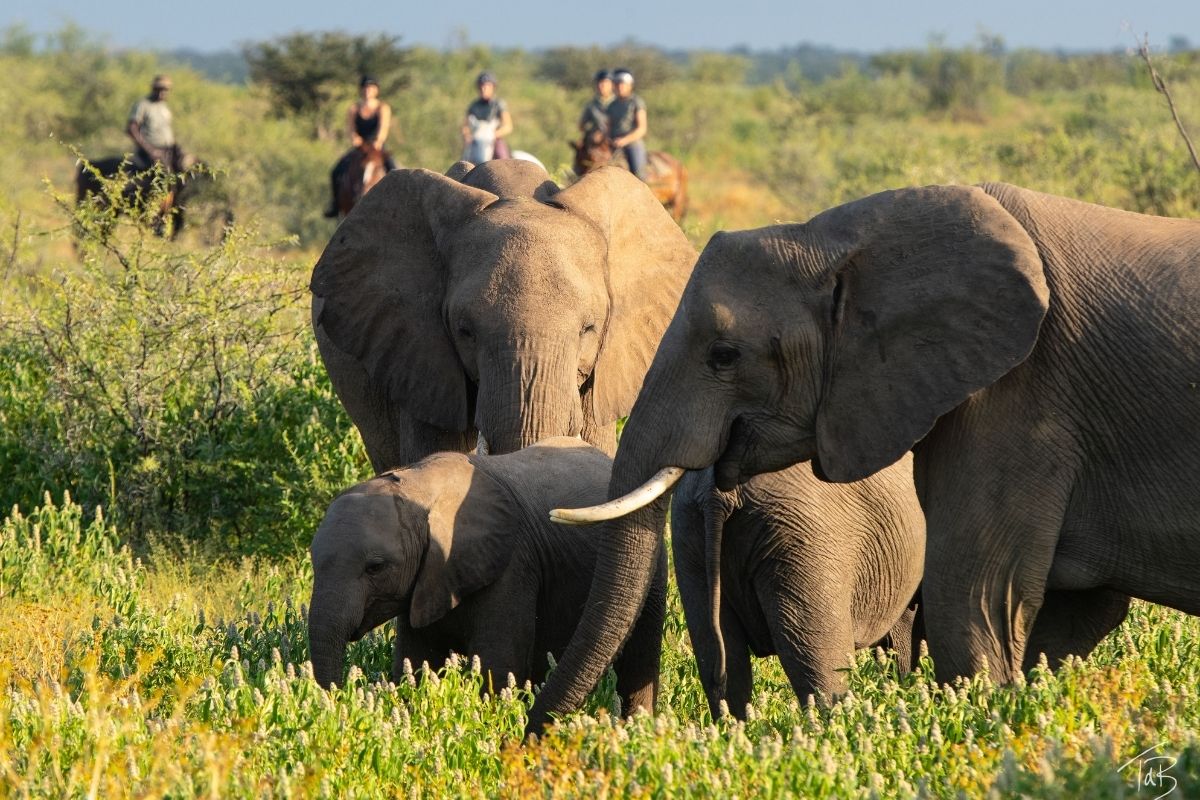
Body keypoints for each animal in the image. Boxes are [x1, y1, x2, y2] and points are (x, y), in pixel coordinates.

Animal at [307, 436, 660, 715]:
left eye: (375, 567)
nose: (341, 696)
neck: (417, 486)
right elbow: (416, 662)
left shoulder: (511, 565)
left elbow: (497, 667)